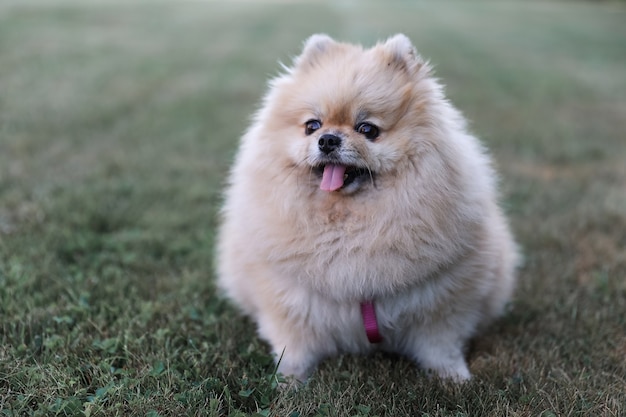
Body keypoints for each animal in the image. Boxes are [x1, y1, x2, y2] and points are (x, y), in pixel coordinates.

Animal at [216, 34, 516, 382]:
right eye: (312, 126)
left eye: (367, 129)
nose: (328, 139)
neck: (350, 222)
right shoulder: (290, 302)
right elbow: (295, 346)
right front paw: (288, 380)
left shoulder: (443, 304)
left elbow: (441, 345)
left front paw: (453, 377)